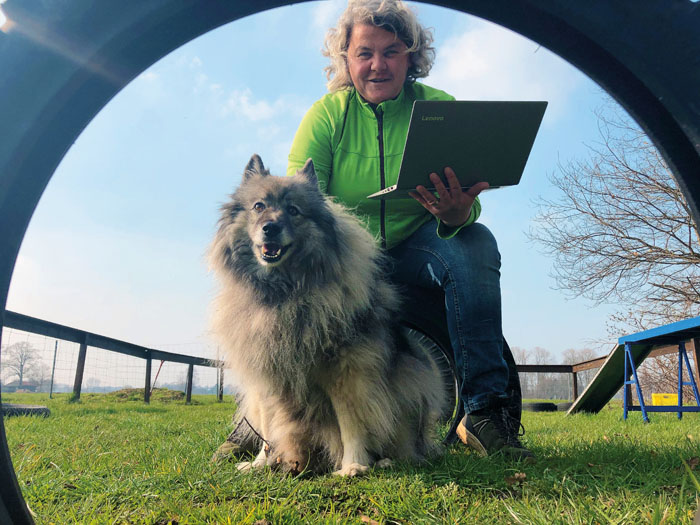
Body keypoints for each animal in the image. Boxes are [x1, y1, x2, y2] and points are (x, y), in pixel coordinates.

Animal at [208, 155, 446, 474]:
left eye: (294, 211)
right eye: (258, 206)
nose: (270, 227)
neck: (284, 291)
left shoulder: (348, 372)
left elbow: (351, 423)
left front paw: (353, 466)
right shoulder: (266, 375)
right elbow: (267, 426)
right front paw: (260, 463)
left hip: (408, 386)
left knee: (405, 446)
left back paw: (384, 460)